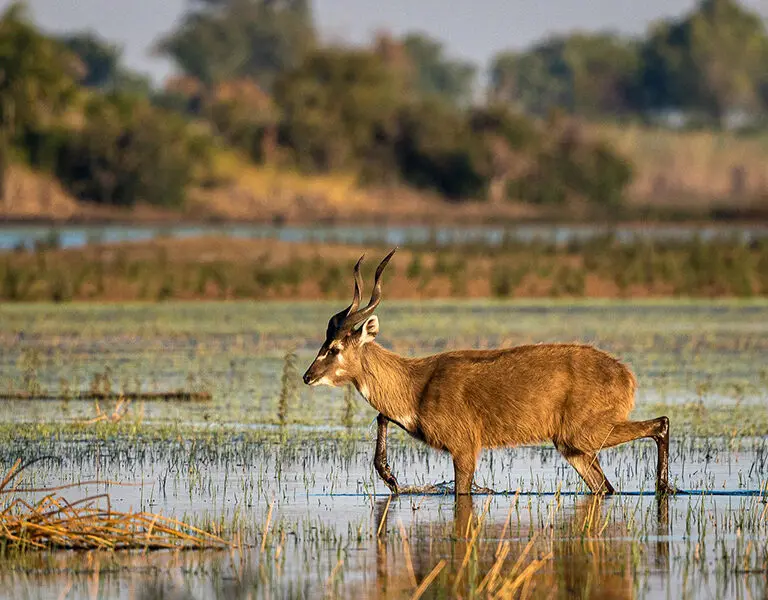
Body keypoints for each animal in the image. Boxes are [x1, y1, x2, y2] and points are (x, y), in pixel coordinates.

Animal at [302, 249, 675, 496]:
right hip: (572, 447)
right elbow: (382, 416)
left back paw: (664, 487)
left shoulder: (465, 448)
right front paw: (390, 477)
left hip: (585, 433)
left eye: (334, 347)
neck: (418, 385)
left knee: (660, 424)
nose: (308, 376)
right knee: (605, 486)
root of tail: (625, 375)